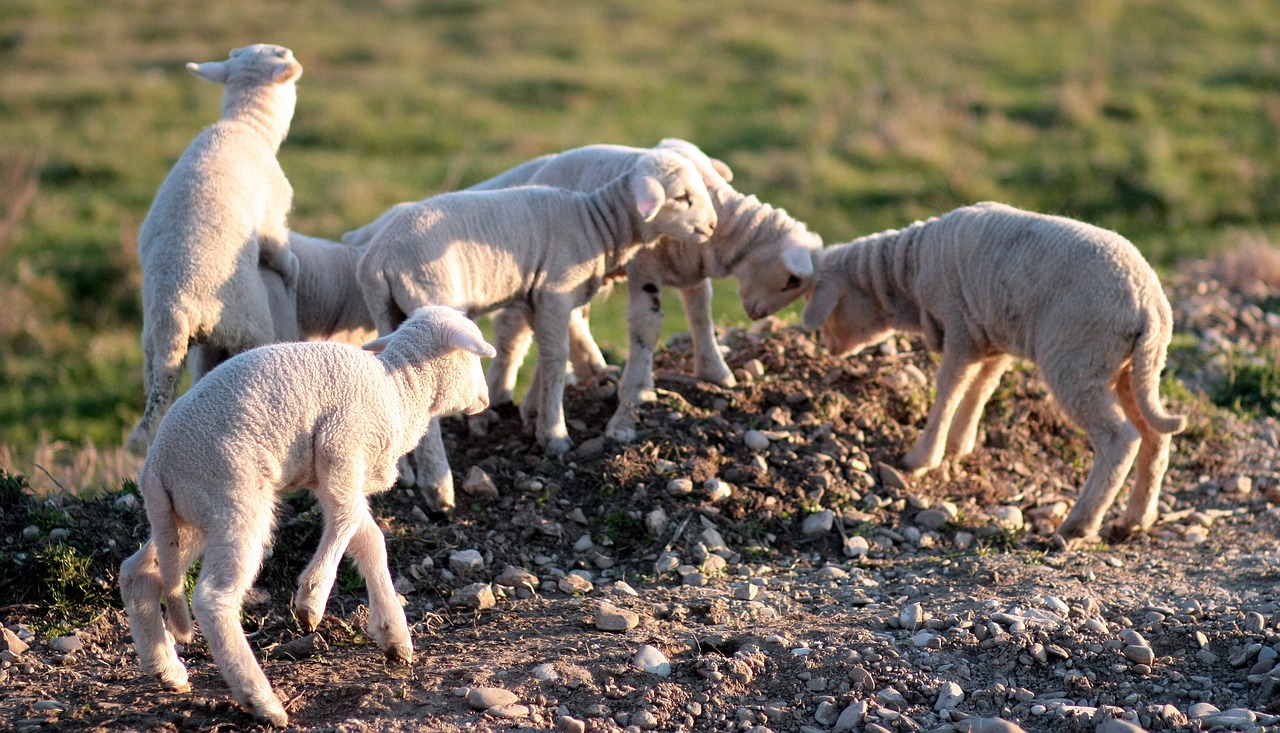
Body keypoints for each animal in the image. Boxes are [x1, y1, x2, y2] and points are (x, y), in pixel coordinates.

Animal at [119, 304, 494, 726]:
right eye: (474, 357)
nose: (486, 398)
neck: (400, 390)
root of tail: (156, 467)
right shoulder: (341, 448)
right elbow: (347, 520)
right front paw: (311, 601)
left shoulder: (334, 474)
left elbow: (368, 537)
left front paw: (393, 634)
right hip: (234, 500)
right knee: (214, 599)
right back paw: (261, 700)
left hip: (189, 515)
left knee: (139, 574)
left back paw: (166, 669)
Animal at [125, 42, 307, 455]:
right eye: (283, 55)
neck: (245, 124)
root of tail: (176, 310)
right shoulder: (273, 216)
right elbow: (282, 255)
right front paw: (292, 274)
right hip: (248, 325)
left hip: (153, 349)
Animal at [358, 147, 721, 509]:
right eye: (682, 197)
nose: (712, 226)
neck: (595, 222)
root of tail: (379, 260)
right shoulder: (555, 291)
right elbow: (557, 357)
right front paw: (554, 435)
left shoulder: (537, 299)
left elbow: (545, 353)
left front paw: (533, 413)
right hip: (430, 296)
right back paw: (438, 488)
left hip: (386, 310)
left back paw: (401, 473)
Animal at [803, 203, 1182, 539]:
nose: (827, 345)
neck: (909, 268)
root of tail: (1148, 305)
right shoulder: (991, 337)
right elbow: (981, 387)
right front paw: (959, 445)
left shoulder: (959, 327)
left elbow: (950, 387)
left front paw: (921, 458)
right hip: (1134, 367)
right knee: (1155, 435)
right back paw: (1134, 521)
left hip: (1077, 361)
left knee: (1120, 439)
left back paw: (1077, 526)